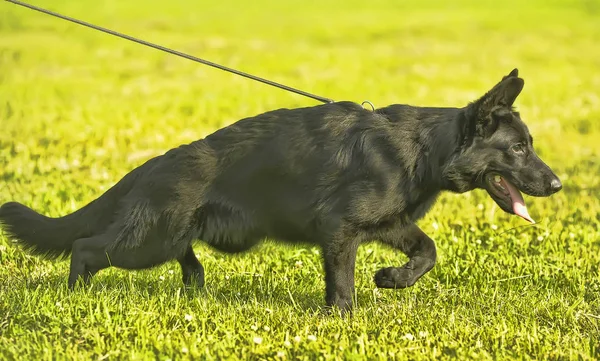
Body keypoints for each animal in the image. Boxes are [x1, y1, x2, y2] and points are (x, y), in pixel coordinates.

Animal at [0, 68, 564, 312]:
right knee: (85, 248)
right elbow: (342, 285)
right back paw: (74, 294)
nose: (558, 184)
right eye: (518, 149)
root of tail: (153, 164)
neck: (426, 148)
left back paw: (196, 287)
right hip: (148, 241)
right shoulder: (340, 230)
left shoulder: (389, 223)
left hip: (169, 236)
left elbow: (426, 251)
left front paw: (391, 279)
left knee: (185, 257)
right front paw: (342, 319)